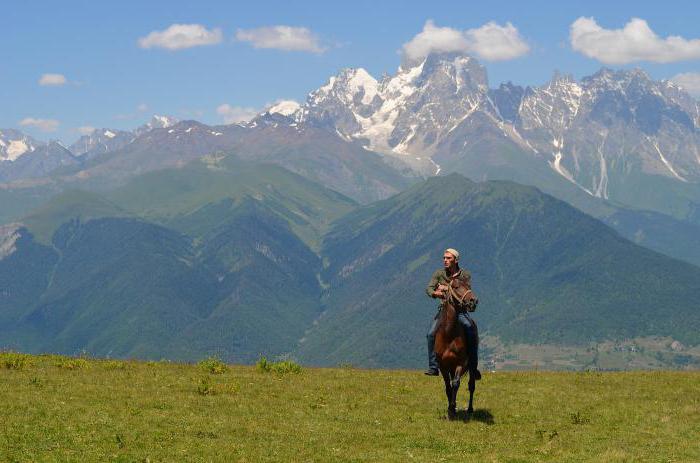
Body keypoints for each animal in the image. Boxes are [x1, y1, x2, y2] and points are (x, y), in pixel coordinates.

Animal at [434, 278, 478, 422]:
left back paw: (470, 409)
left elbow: (456, 384)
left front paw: (453, 408)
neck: (449, 334)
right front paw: (450, 410)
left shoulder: (461, 363)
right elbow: (448, 386)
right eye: (456, 287)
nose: (473, 301)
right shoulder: (443, 365)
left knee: (471, 385)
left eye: (469, 285)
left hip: (472, 365)